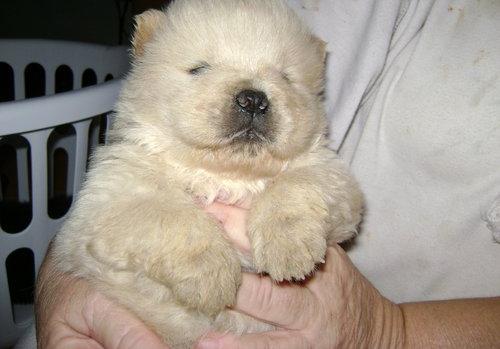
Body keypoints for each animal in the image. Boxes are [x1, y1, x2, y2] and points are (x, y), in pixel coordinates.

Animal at [51, 0, 364, 346]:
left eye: (285, 77)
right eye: (199, 69)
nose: (253, 98)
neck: (225, 175)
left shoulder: (332, 176)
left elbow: (295, 186)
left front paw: (289, 250)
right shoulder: (110, 198)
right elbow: (174, 217)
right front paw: (212, 280)